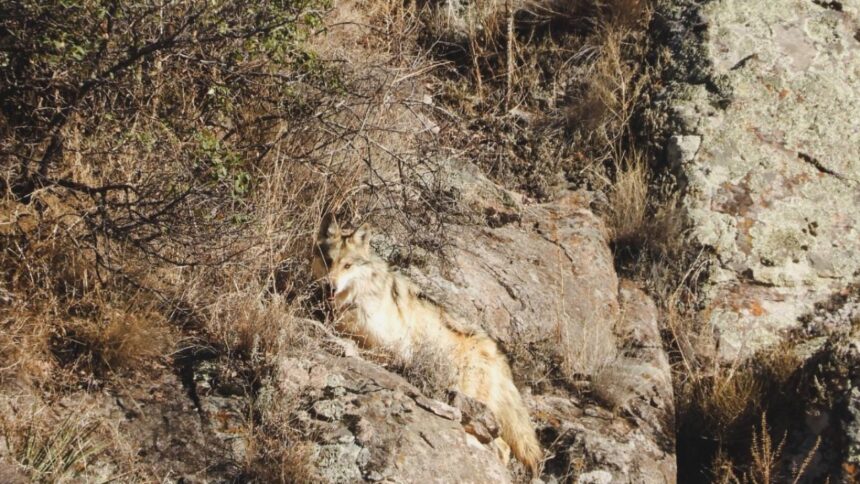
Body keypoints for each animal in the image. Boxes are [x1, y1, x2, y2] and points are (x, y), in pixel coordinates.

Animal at [312, 217, 542, 475]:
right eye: (328, 261)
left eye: (348, 266)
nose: (329, 287)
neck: (358, 297)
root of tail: (499, 355)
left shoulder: (394, 348)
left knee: (502, 446)